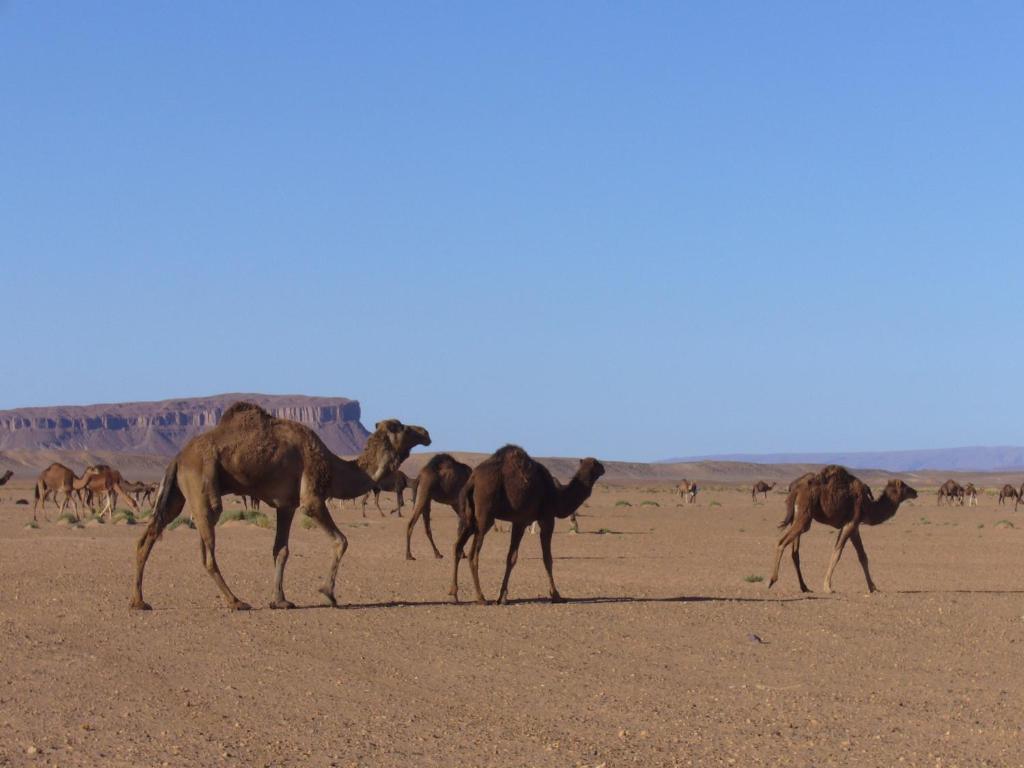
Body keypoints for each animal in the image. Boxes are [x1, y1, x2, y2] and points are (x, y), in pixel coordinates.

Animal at [130, 403, 430, 614]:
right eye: (402, 427)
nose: (426, 433)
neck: (334, 467)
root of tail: (178, 457)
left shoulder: (286, 504)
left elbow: (281, 550)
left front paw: (280, 600)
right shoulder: (311, 498)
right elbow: (341, 540)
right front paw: (328, 592)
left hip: (177, 494)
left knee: (149, 536)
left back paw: (138, 601)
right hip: (203, 486)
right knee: (208, 549)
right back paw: (236, 601)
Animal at [450, 444, 606, 606]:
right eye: (597, 463)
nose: (604, 467)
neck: (556, 495)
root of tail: (472, 480)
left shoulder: (520, 521)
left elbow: (511, 558)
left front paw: (502, 597)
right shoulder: (547, 518)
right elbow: (547, 558)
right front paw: (556, 595)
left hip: (469, 518)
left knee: (457, 546)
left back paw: (454, 593)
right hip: (485, 515)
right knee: (473, 553)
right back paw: (481, 597)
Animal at [770, 462, 921, 593]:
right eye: (904, 486)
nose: (915, 492)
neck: (868, 506)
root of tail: (794, 488)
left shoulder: (854, 527)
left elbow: (862, 556)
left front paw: (873, 587)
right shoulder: (850, 523)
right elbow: (837, 552)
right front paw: (827, 587)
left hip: (798, 518)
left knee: (795, 552)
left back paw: (804, 587)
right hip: (804, 515)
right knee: (782, 542)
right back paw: (771, 580)